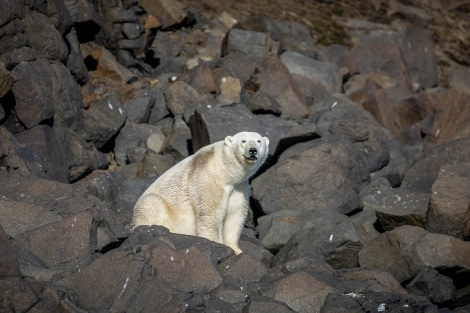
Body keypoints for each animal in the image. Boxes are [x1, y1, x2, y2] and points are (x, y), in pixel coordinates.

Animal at [131, 130, 268, 252]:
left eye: (259, 141)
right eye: (243, 141)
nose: (253, 150)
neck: (225, 170)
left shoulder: (239, 187)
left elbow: (235, 215)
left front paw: (236, 249)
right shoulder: (208, 178)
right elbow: (210, 215)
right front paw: (218, 245)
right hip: (152, 207)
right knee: (151, 205)